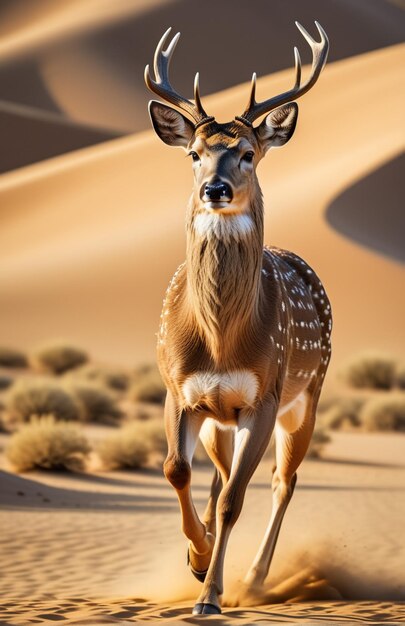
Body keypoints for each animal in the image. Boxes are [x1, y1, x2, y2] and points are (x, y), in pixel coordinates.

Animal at [145, 22, 332, 612]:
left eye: (248, 153)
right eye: (194, 153)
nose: (215, 189)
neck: (221, 339)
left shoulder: (264, 396)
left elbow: (235, 499)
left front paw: (210, 594)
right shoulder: (179, 390)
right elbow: (176, 469)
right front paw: (198, 556)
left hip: (306, 394)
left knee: (279, 482)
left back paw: (254, 577)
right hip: (217, 419)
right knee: (219, 474)